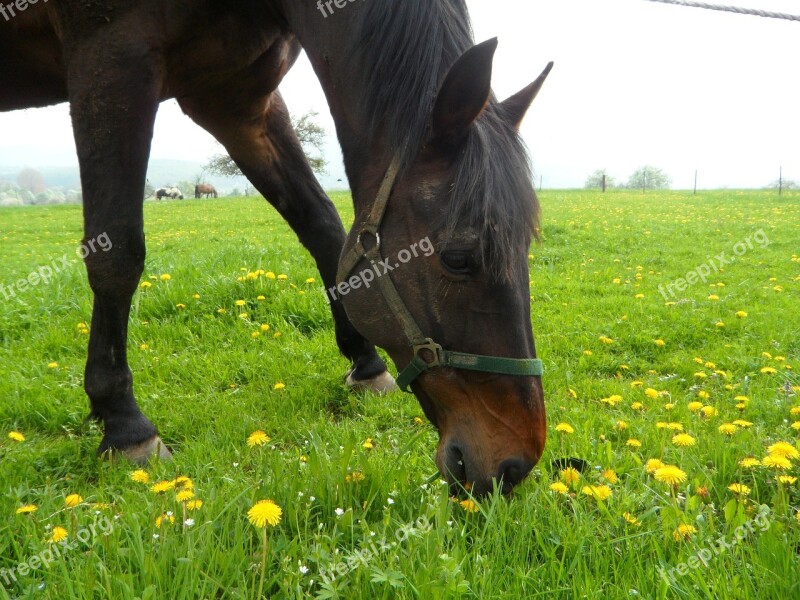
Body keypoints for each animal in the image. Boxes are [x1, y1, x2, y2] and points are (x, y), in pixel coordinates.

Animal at [0, 0, 552, 496]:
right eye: (458, 258)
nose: (514, 464)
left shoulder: (238, 103)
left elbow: (323, 226)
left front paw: (366, 365)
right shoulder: (110, 60)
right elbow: (116, 253)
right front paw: (123, 422)